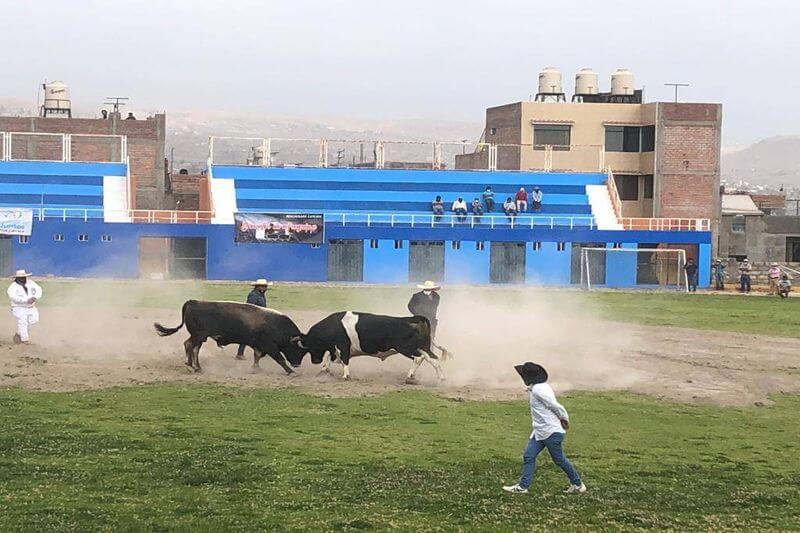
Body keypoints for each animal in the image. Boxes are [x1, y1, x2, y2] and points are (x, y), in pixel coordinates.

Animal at [154, 302, 306, 372]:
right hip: (198, 335)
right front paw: (290, 371)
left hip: (200, 337)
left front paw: (256, 368)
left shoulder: (258, 344)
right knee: (189, 345)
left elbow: (257, 355)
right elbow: (280, 358)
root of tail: (194, 302)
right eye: (298, 350)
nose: (297, 364)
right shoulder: (269, 345)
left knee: (195, 348)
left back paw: (197, 367)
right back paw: (190, 366)